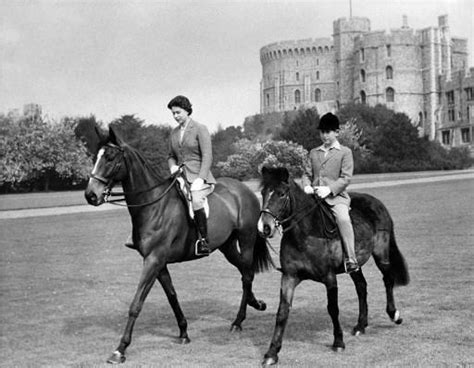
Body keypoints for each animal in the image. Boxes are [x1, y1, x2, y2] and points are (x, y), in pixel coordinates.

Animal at [83, 127, 272, 366]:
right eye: (94, 157)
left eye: (109, 158)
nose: (90, 195)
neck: (154, 204)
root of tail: (244, 190)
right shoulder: (158, 262)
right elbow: (172, 296)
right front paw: (183, 332)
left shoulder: (153, 261)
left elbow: (136, 304)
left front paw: (120, 349)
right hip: (226, 246)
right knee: (244, 271)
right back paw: (256, 304)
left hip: (246, 239)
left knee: (247, 275)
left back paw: (238, 321)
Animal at [258, 167, 410, 366]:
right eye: (263, 193)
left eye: (281, 194)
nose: (264, 227)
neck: (306, 233)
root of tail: (377, 203)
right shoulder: (289, 277)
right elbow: (282, 312)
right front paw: (272, 353)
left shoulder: (329, 278)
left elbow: (333, 309)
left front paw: (338, 342)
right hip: (354, 264)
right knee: (361, 287)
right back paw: (360, 325)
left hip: (381, 254)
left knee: (388, 279)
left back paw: (394, 315)